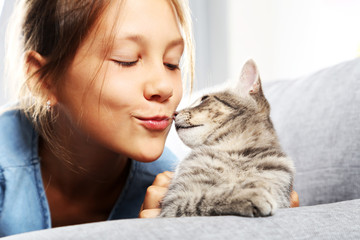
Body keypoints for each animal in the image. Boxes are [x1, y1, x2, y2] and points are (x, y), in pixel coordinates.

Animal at [160, 59, 296, 218]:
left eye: (204, 99)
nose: (174, 113)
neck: (235, 153)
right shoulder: (174, 203)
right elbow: (209, 196)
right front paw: (247, 193)